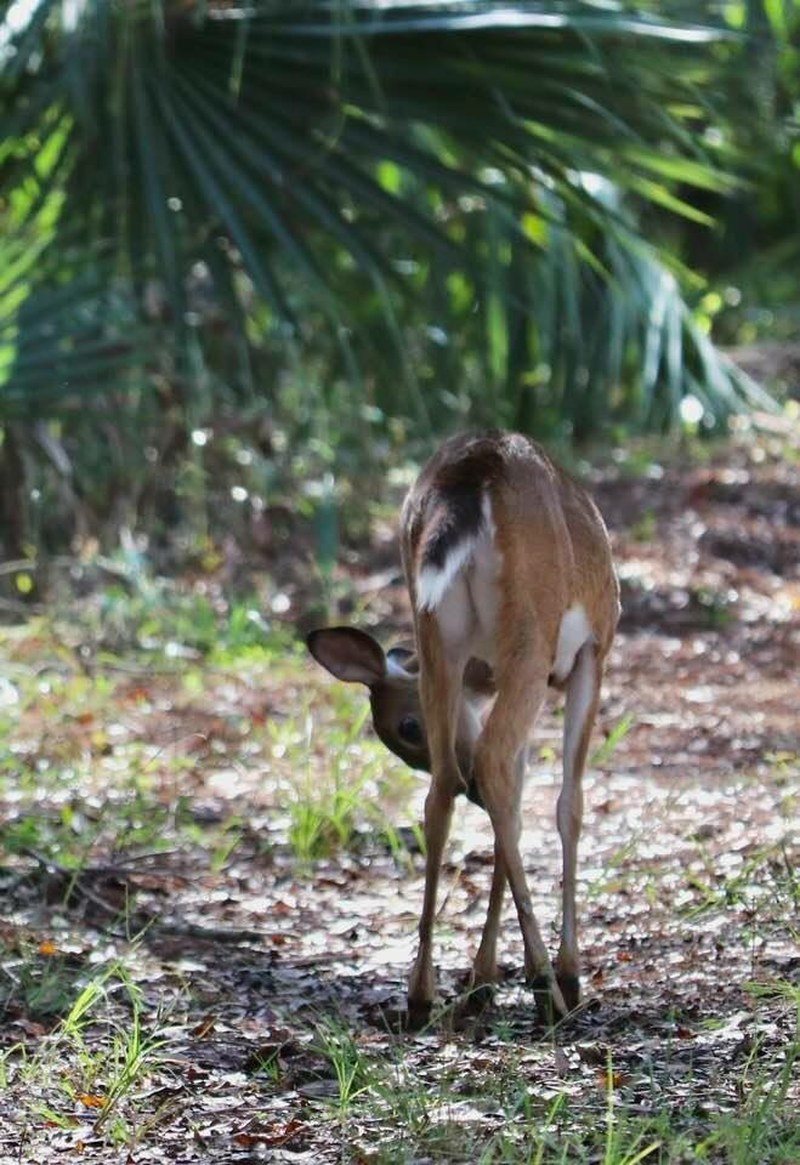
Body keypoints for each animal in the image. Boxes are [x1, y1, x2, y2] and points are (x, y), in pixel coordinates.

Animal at [307, 430, 619, 1025]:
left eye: (405, 731)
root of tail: (474, 474)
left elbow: (510, 811)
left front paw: (481, 978)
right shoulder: (590, 652)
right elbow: (567, 804)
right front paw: (562, 970)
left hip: (435, 633)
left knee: (441, 791)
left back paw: (421, 994)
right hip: (530, 634)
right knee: (496, 763)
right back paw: (549, 987)